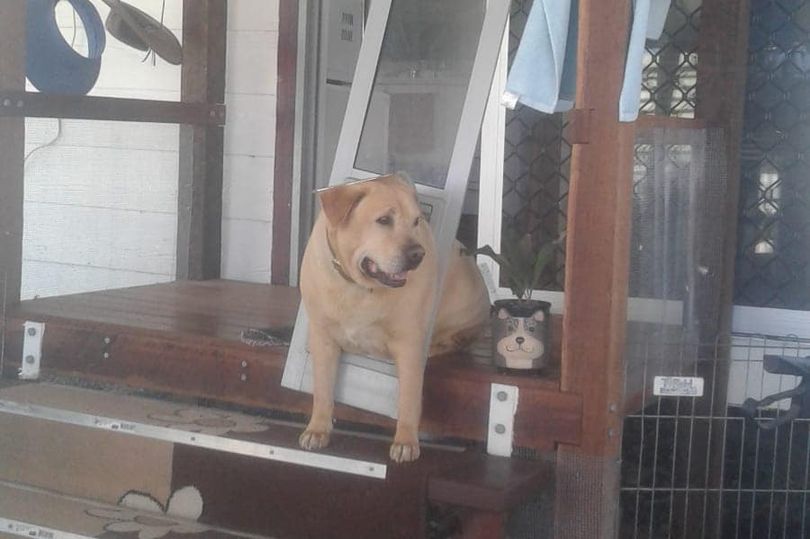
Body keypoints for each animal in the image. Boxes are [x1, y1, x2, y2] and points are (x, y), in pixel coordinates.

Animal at [296, 174, 486, 464]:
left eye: (417, 221)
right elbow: (323, 389)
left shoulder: (408, 344)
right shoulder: (323, 339)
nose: (418, 255)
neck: (359, 287)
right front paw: (318, 429)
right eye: (384, 220)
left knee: (455, 339)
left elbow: (408, 397)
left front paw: (406, 441)